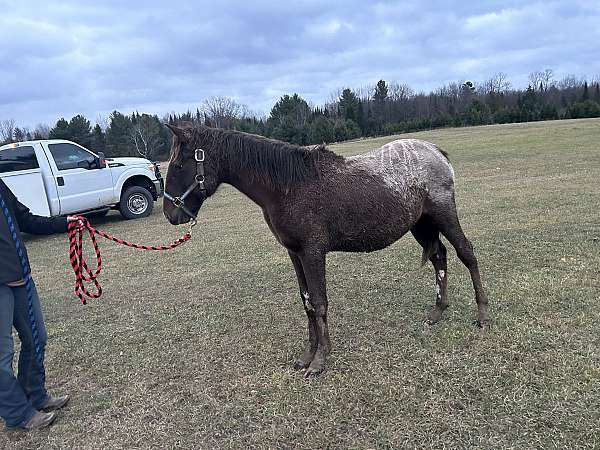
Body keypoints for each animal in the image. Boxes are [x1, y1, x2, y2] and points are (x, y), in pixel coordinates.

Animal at [163, 123, 488, 376]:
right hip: (421, 224)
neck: (289, 186)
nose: (170, 214)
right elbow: (307, 303)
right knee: (439, 257)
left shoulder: (312, 253)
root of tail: (434, 150)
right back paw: (438, 310)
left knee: (466, 253)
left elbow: (319, 303)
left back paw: (482, 313)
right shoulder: (295, 254)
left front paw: (320, 360)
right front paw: (308, 355)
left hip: (443, 215)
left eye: (178, 166)